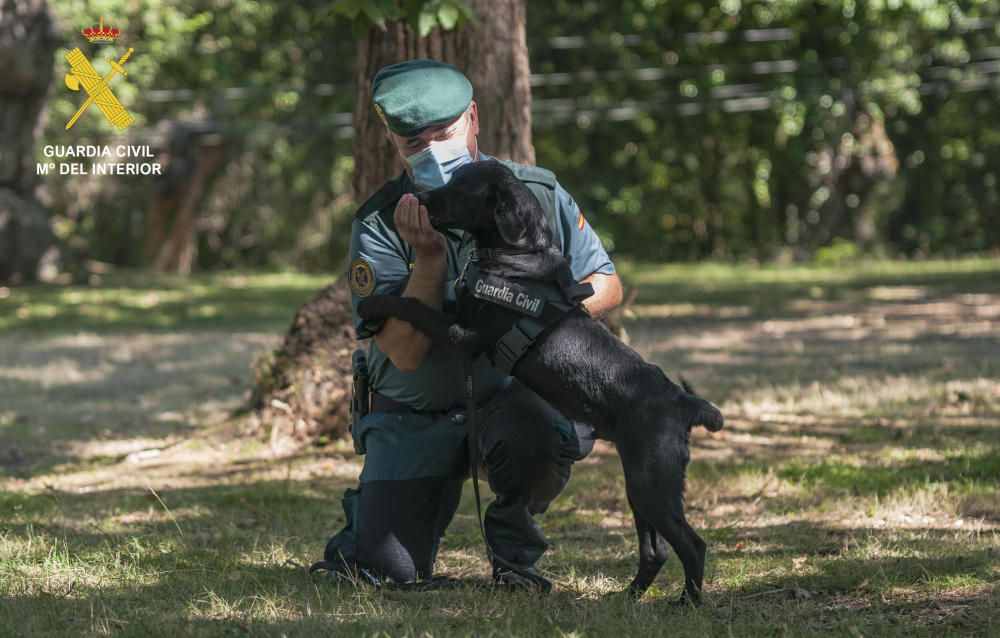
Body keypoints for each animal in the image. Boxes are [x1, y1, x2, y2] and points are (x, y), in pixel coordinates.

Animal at [360, 160, 720, 604]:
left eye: (460, 187)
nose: (422, 199)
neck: (516, 255)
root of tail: (683, 402)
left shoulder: (465, 335)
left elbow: (412, 305)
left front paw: (372, 306)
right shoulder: (459, 316)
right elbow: (436, 299)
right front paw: (371, 318)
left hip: (652, 482)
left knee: (692, 545)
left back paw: (687, 601)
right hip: (640, 484)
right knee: (655, 550)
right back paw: (628, 596)